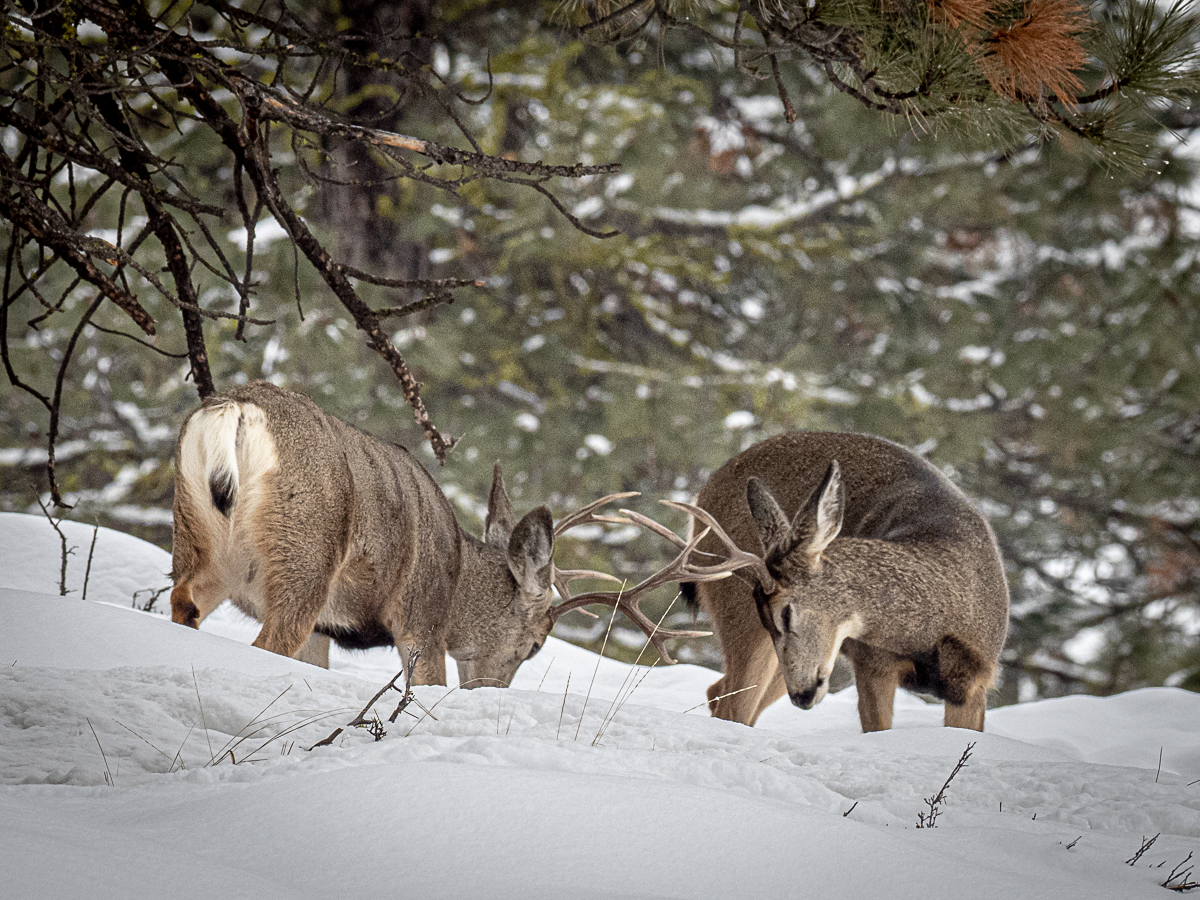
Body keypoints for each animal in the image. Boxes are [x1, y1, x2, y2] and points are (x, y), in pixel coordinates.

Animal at [169, 379, 710, 681]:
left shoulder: (329, 627)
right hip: (304, 551)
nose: (490, 693)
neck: (458, 579)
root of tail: (234, 409)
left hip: (198, 539)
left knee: (183, 604)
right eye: (536, 645)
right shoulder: (422, 618)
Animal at [638, 434, 1012, 734]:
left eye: (787, 614)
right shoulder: (871, 662)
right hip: (741, 618)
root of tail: (704, 490)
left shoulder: (978, 678)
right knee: (731, 704)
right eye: (772, 617)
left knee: (719, 693)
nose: (802, 695)